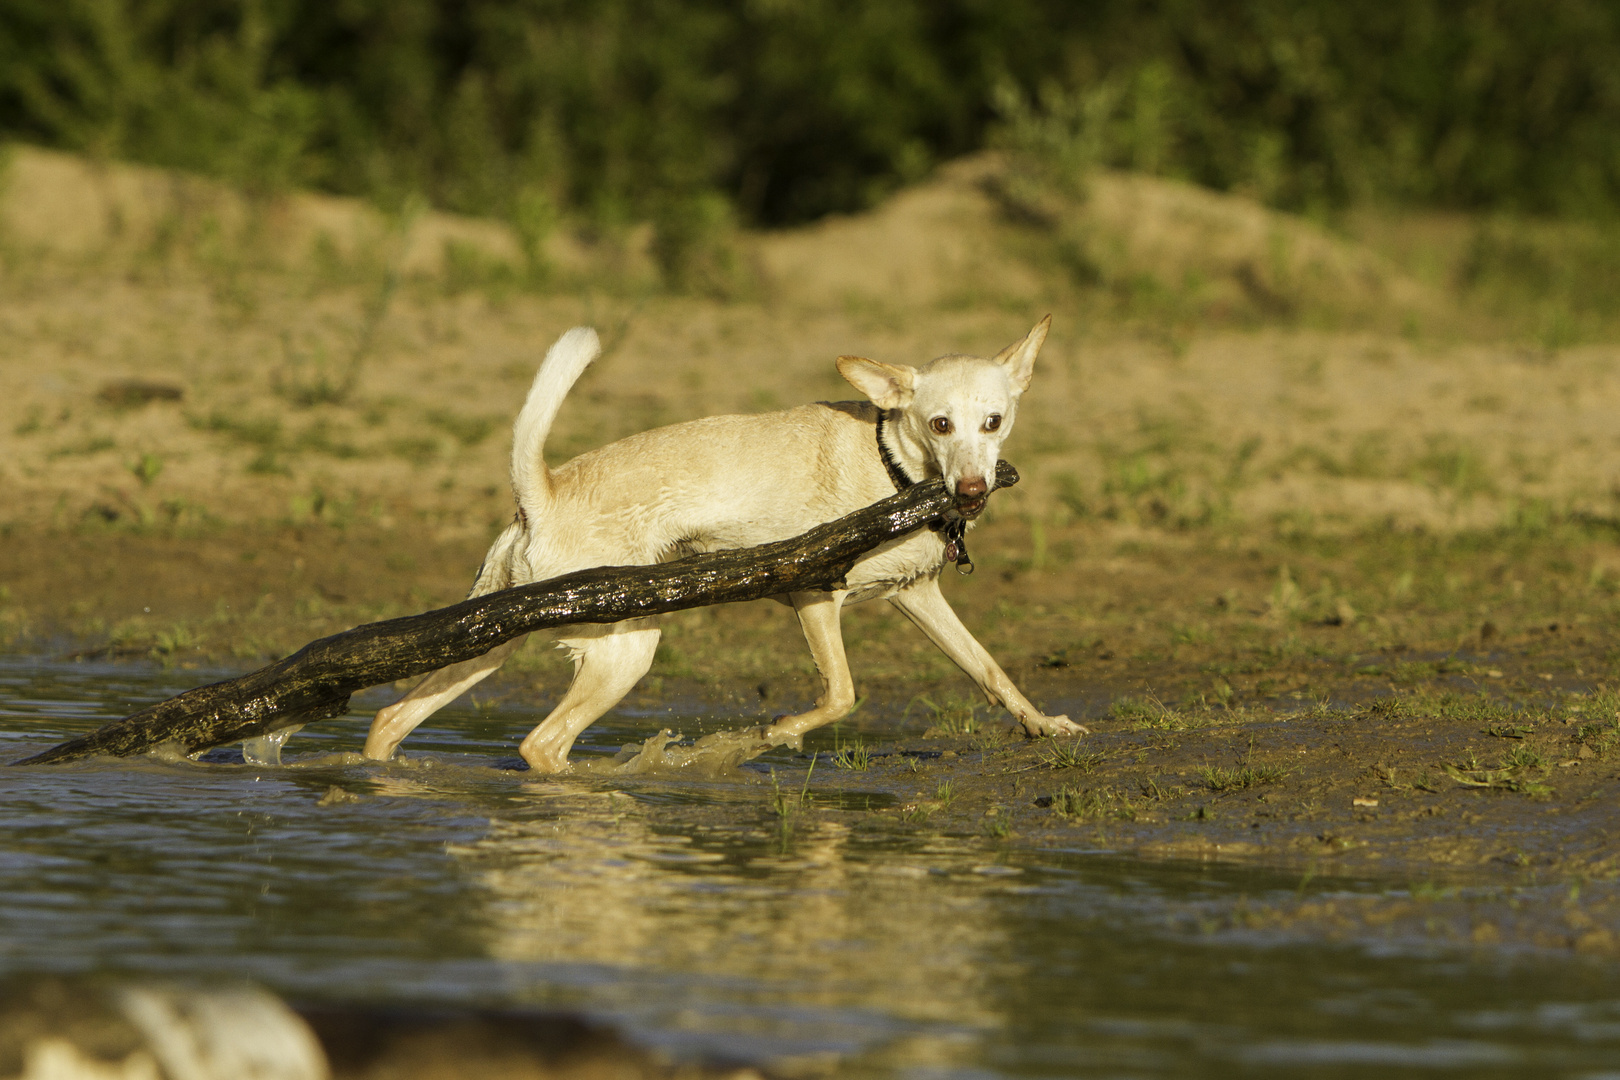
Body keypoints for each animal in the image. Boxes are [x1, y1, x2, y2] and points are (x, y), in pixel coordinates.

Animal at [361, 317, 1082, 773]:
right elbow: (841, 694)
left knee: (390, 717)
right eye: (939, 425)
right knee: (541, 744)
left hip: (491, 640)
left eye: (993, 422)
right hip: (624, 651)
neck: (894, 467)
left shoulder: (918, 595)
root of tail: (543, 492)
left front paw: (1046, 727)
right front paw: (773, 735)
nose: (972, 490)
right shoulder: (816, 595)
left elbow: (989, 669)